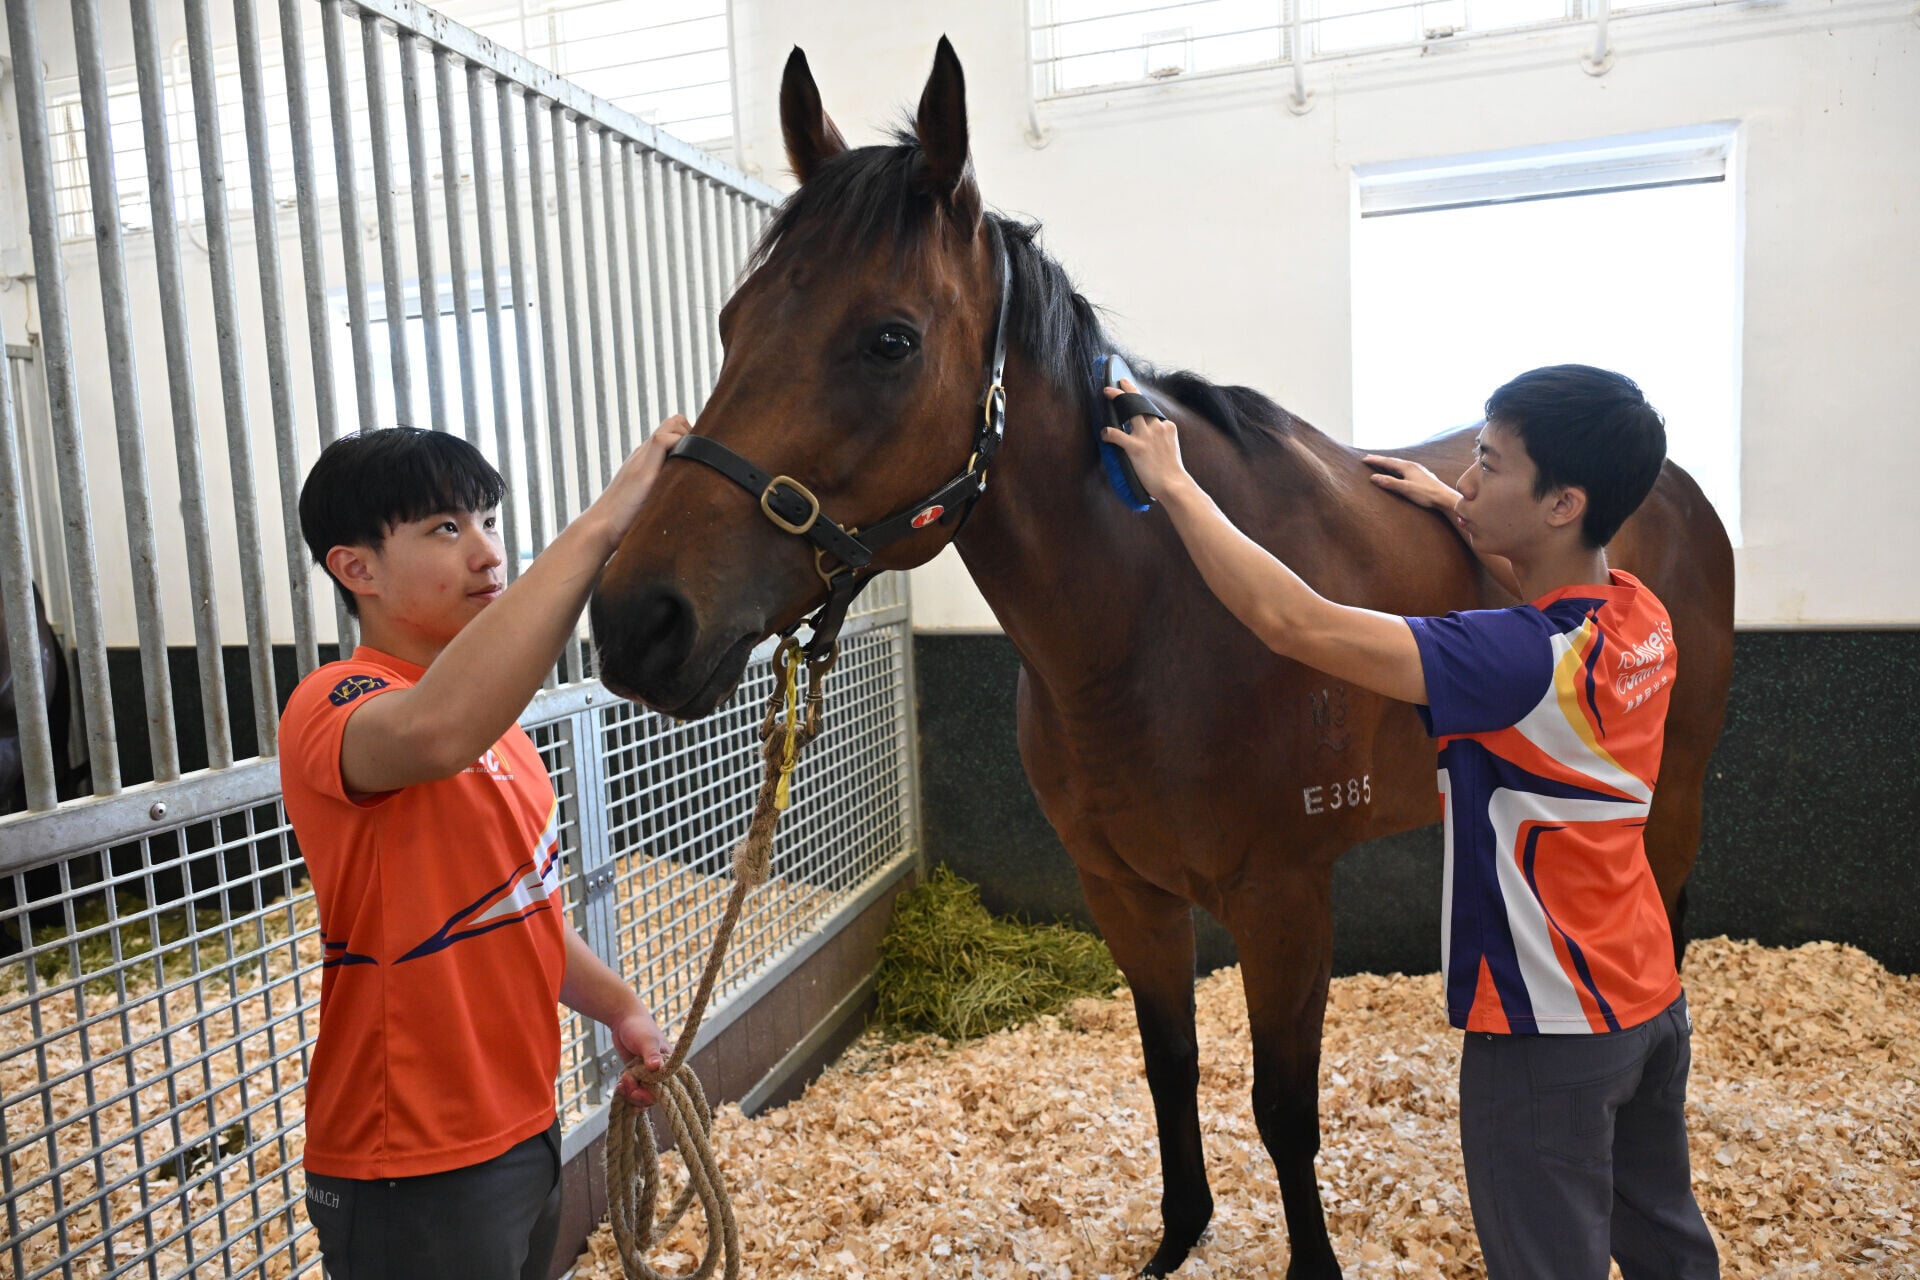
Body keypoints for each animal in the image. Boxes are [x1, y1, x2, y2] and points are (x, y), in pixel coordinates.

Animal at [589, 39, 1735, 1278]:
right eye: (732, 320)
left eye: (889, 339)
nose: (637, 618)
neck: (1152, 626)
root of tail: (1678, 486)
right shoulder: (1126, 890)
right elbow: (1169, 1062)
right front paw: (1180, 1232)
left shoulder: (1286, 898)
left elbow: (1284, 1106)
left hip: (1670, 785)